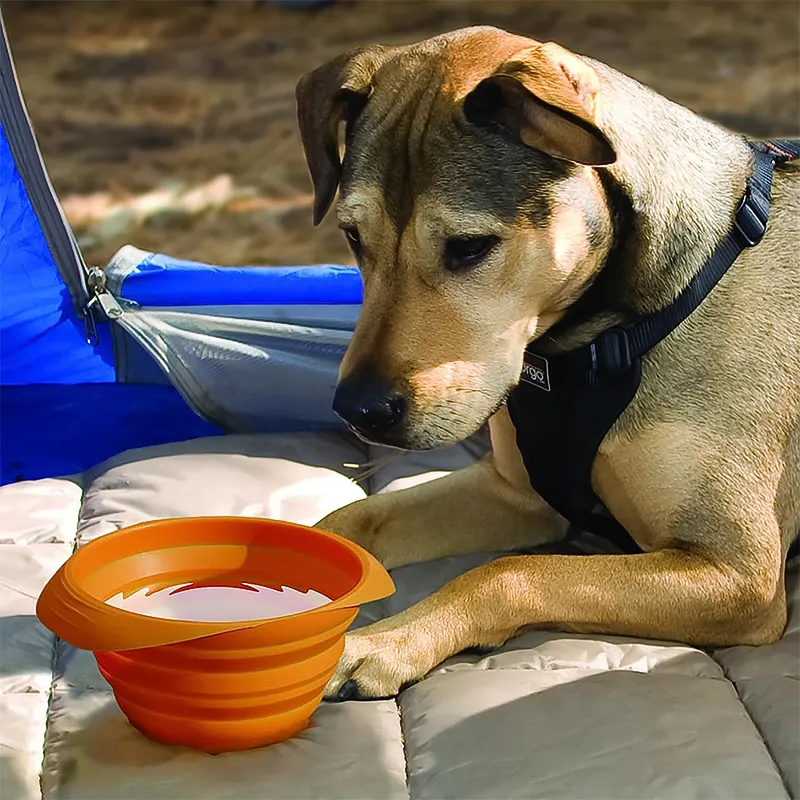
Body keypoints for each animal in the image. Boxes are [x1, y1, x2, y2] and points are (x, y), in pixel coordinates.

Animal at [296, 25, 800, 700]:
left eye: (470, 247)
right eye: (353, 236)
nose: (359, 410)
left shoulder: (739, 576)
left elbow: (509, 573)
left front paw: (385, 642)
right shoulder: (513, 492)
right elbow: (350, 519)